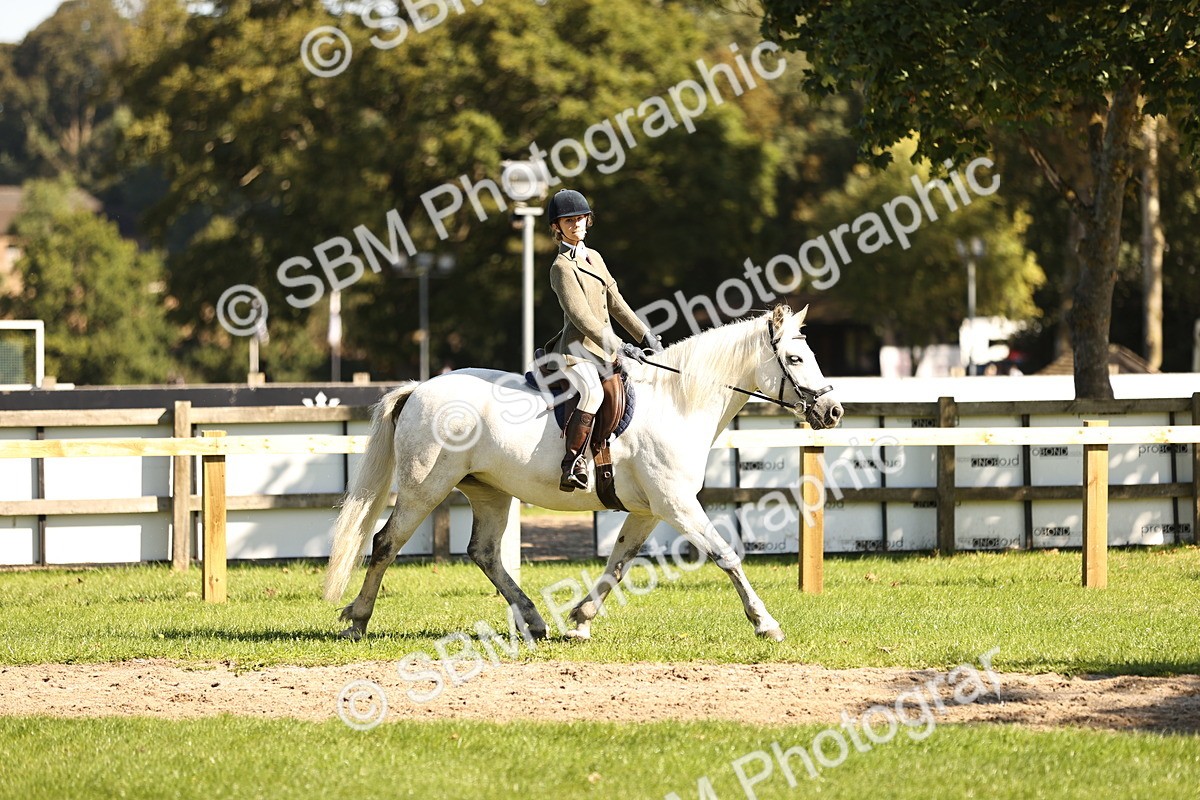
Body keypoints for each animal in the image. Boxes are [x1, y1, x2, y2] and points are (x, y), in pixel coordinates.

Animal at [324, 304, 844, 642]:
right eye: (795, 358)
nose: (833, 411)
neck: (677, 403)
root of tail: (419, 388)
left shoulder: (649, 510)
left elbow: (618, 564)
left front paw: (581, 619)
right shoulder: (677, 505)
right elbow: (726, 556)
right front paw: (765, 623)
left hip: (490, 492)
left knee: (484, 553)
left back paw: (534, 621)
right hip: (424, 489)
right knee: (385, 543)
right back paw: (358, 620)